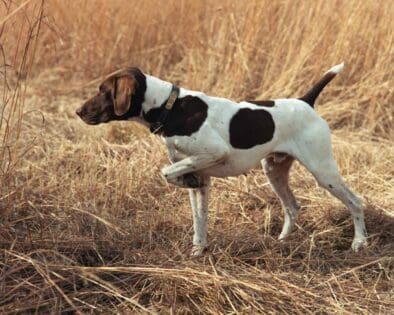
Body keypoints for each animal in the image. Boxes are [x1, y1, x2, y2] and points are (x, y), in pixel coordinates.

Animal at [77, 63, 370, 256]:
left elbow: (166, 172)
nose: (78, 111)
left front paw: (180, 181)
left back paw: (359, 243)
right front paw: (198, 250)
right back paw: (281, 241)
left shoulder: (214, 153)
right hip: (273, 170)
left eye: (103, 91)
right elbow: (199, 219)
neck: (170, 108)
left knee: (356, 202)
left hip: (323, 172)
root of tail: (305, 101)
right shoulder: (202, 178)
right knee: (292, 206)